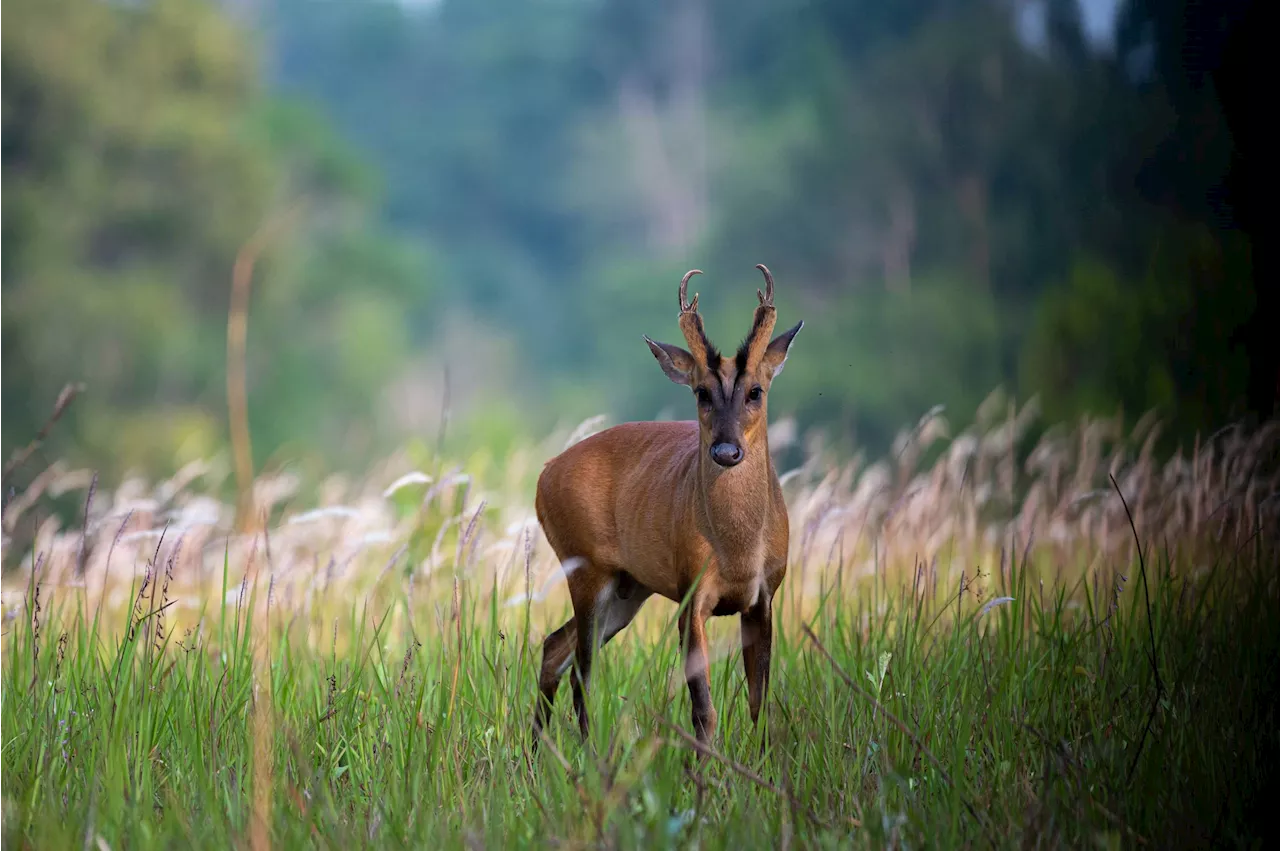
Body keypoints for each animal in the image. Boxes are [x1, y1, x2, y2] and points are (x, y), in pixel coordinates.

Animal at [529, 262, 798, 747]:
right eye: (701, 392)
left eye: (756, 391)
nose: (726, 451)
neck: (737, 550)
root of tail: (544, 473)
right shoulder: (692, 595)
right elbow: (704, 708)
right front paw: (706, 765)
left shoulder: (764, 597)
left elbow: (758, 702)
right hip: (585, 569)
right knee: (582, 672)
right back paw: (584, 751)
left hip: (628, 587)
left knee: (555, 648)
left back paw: (539, 750)